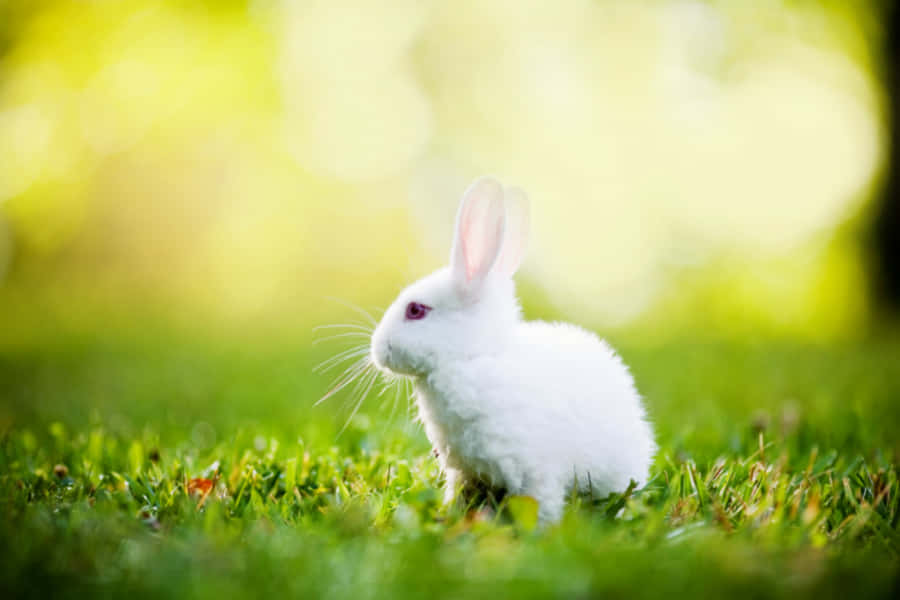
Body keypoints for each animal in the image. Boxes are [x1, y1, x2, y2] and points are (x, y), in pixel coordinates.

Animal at [370, 176, 656, 523]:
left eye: (415, 310)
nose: (377, 349)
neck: (474, 357)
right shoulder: (464, 470)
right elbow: (459, 495)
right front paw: (450, 515)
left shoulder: (537, 469)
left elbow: (540, 504)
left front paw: (539, 529)